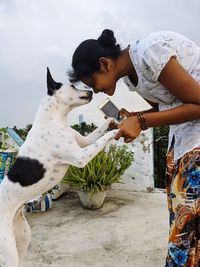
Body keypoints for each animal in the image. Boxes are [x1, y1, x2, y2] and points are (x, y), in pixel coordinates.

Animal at [0, 67, 117, 267]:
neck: (54, 119)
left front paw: (111, 120)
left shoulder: (84, 141)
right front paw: (119, 129)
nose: (91, 92)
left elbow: (98, 132)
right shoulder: (80, 157)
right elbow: (103, 138)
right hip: (8, 252)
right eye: (73, 86)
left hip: (23, 237)